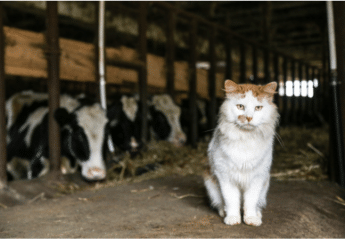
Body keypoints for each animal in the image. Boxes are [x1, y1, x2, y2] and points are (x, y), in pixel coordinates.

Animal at [203, 79, 278, 227]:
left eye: (258, 108)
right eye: (240, 107)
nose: (248, 118)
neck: (246, 139)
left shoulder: (257, 177)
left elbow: (250, 202)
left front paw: (251, 219)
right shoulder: (225, 176)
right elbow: (232, 201)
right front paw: (233, 218)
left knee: (257, 204)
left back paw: (257, 214)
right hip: (210, 183)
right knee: (221, 204)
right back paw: (224, 212)